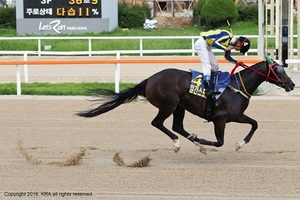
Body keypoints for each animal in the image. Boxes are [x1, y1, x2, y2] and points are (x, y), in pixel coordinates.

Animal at [78, 57, 296, 154]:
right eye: (279, 70)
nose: (292, 84)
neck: (236, 87)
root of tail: (150, 79)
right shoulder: (220, 119)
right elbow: (219, 142)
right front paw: (205, 144)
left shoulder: (236, 116)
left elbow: (255, 123)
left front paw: (240, 143)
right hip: (169, 104)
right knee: (158, 123)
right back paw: (179, 143)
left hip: (179, 107)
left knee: (177, 126)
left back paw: (192, 139)